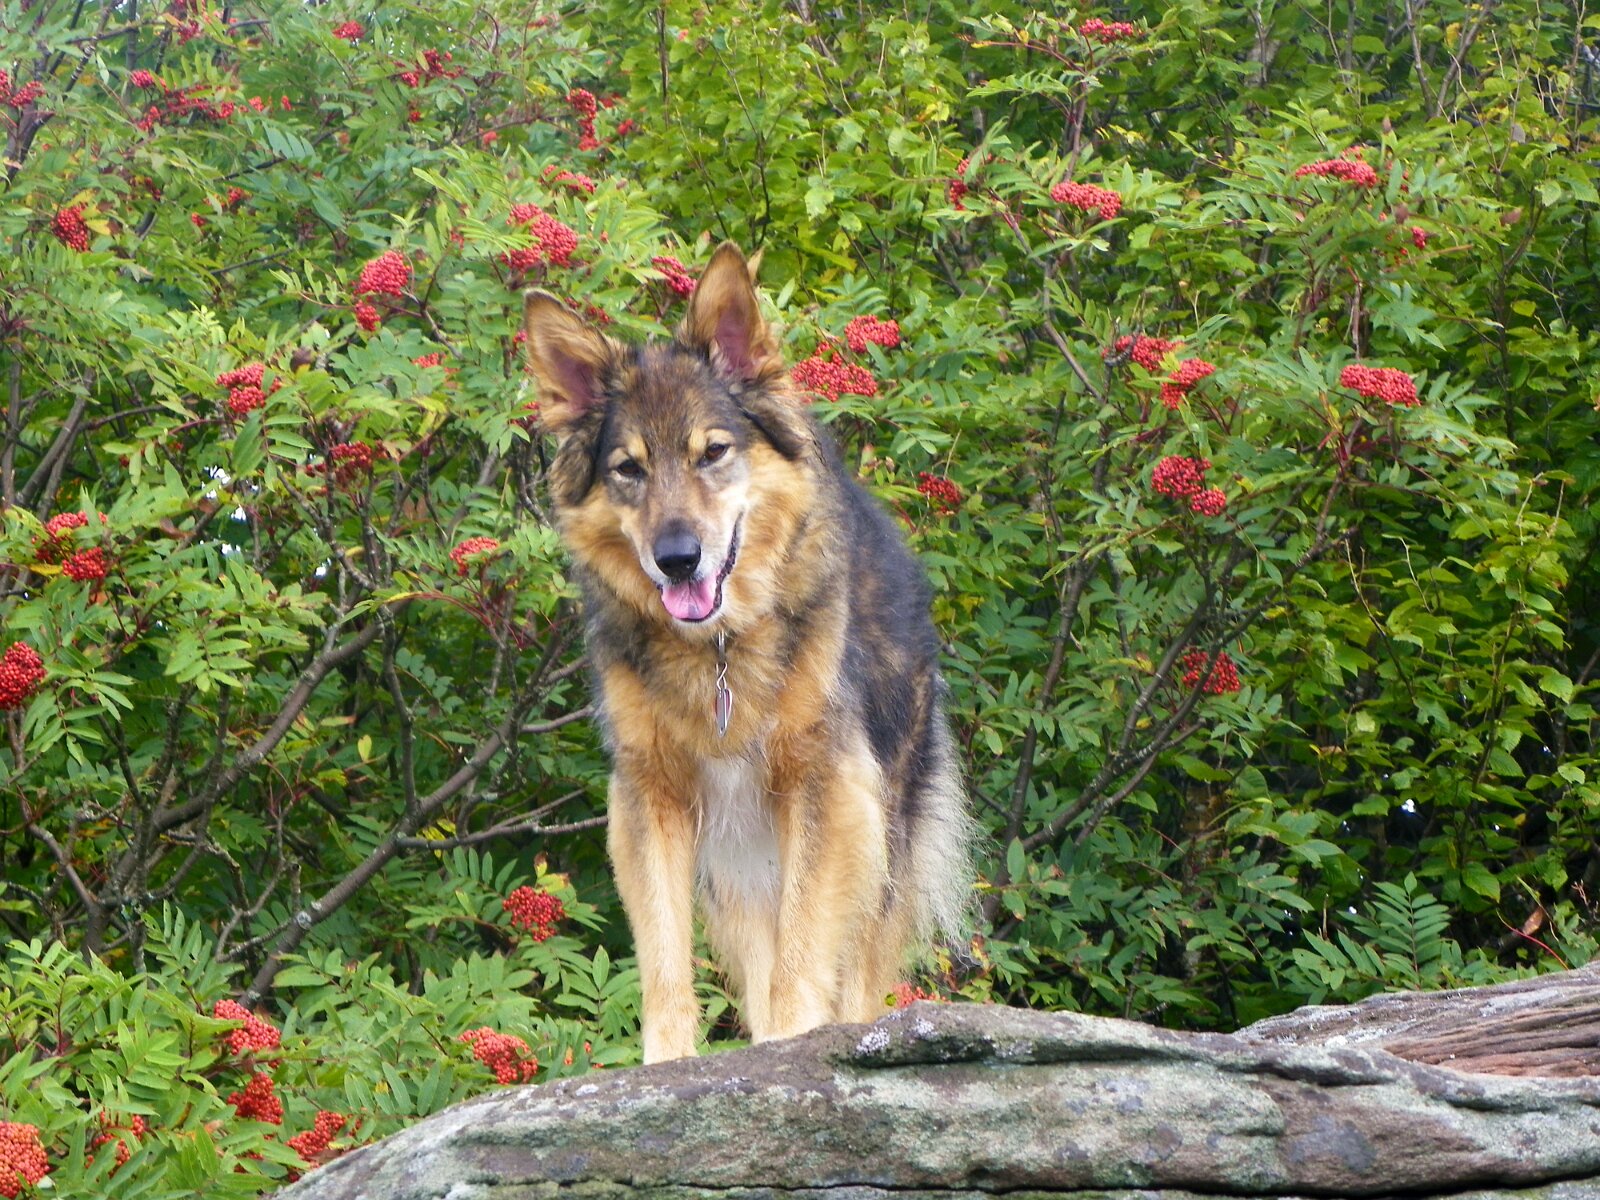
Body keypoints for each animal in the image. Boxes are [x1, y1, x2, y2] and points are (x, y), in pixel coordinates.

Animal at [522, 243, 972, 1063]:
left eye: (714, 452)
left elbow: (802, 956)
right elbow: (665, 964)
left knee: (853, 969)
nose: (677, 560)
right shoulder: (651, 795)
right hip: (736, 865)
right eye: (628, 469)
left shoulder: (824, 786)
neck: (721, 650)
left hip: (879, 836)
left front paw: (796, 1047)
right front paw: (669, 1065)